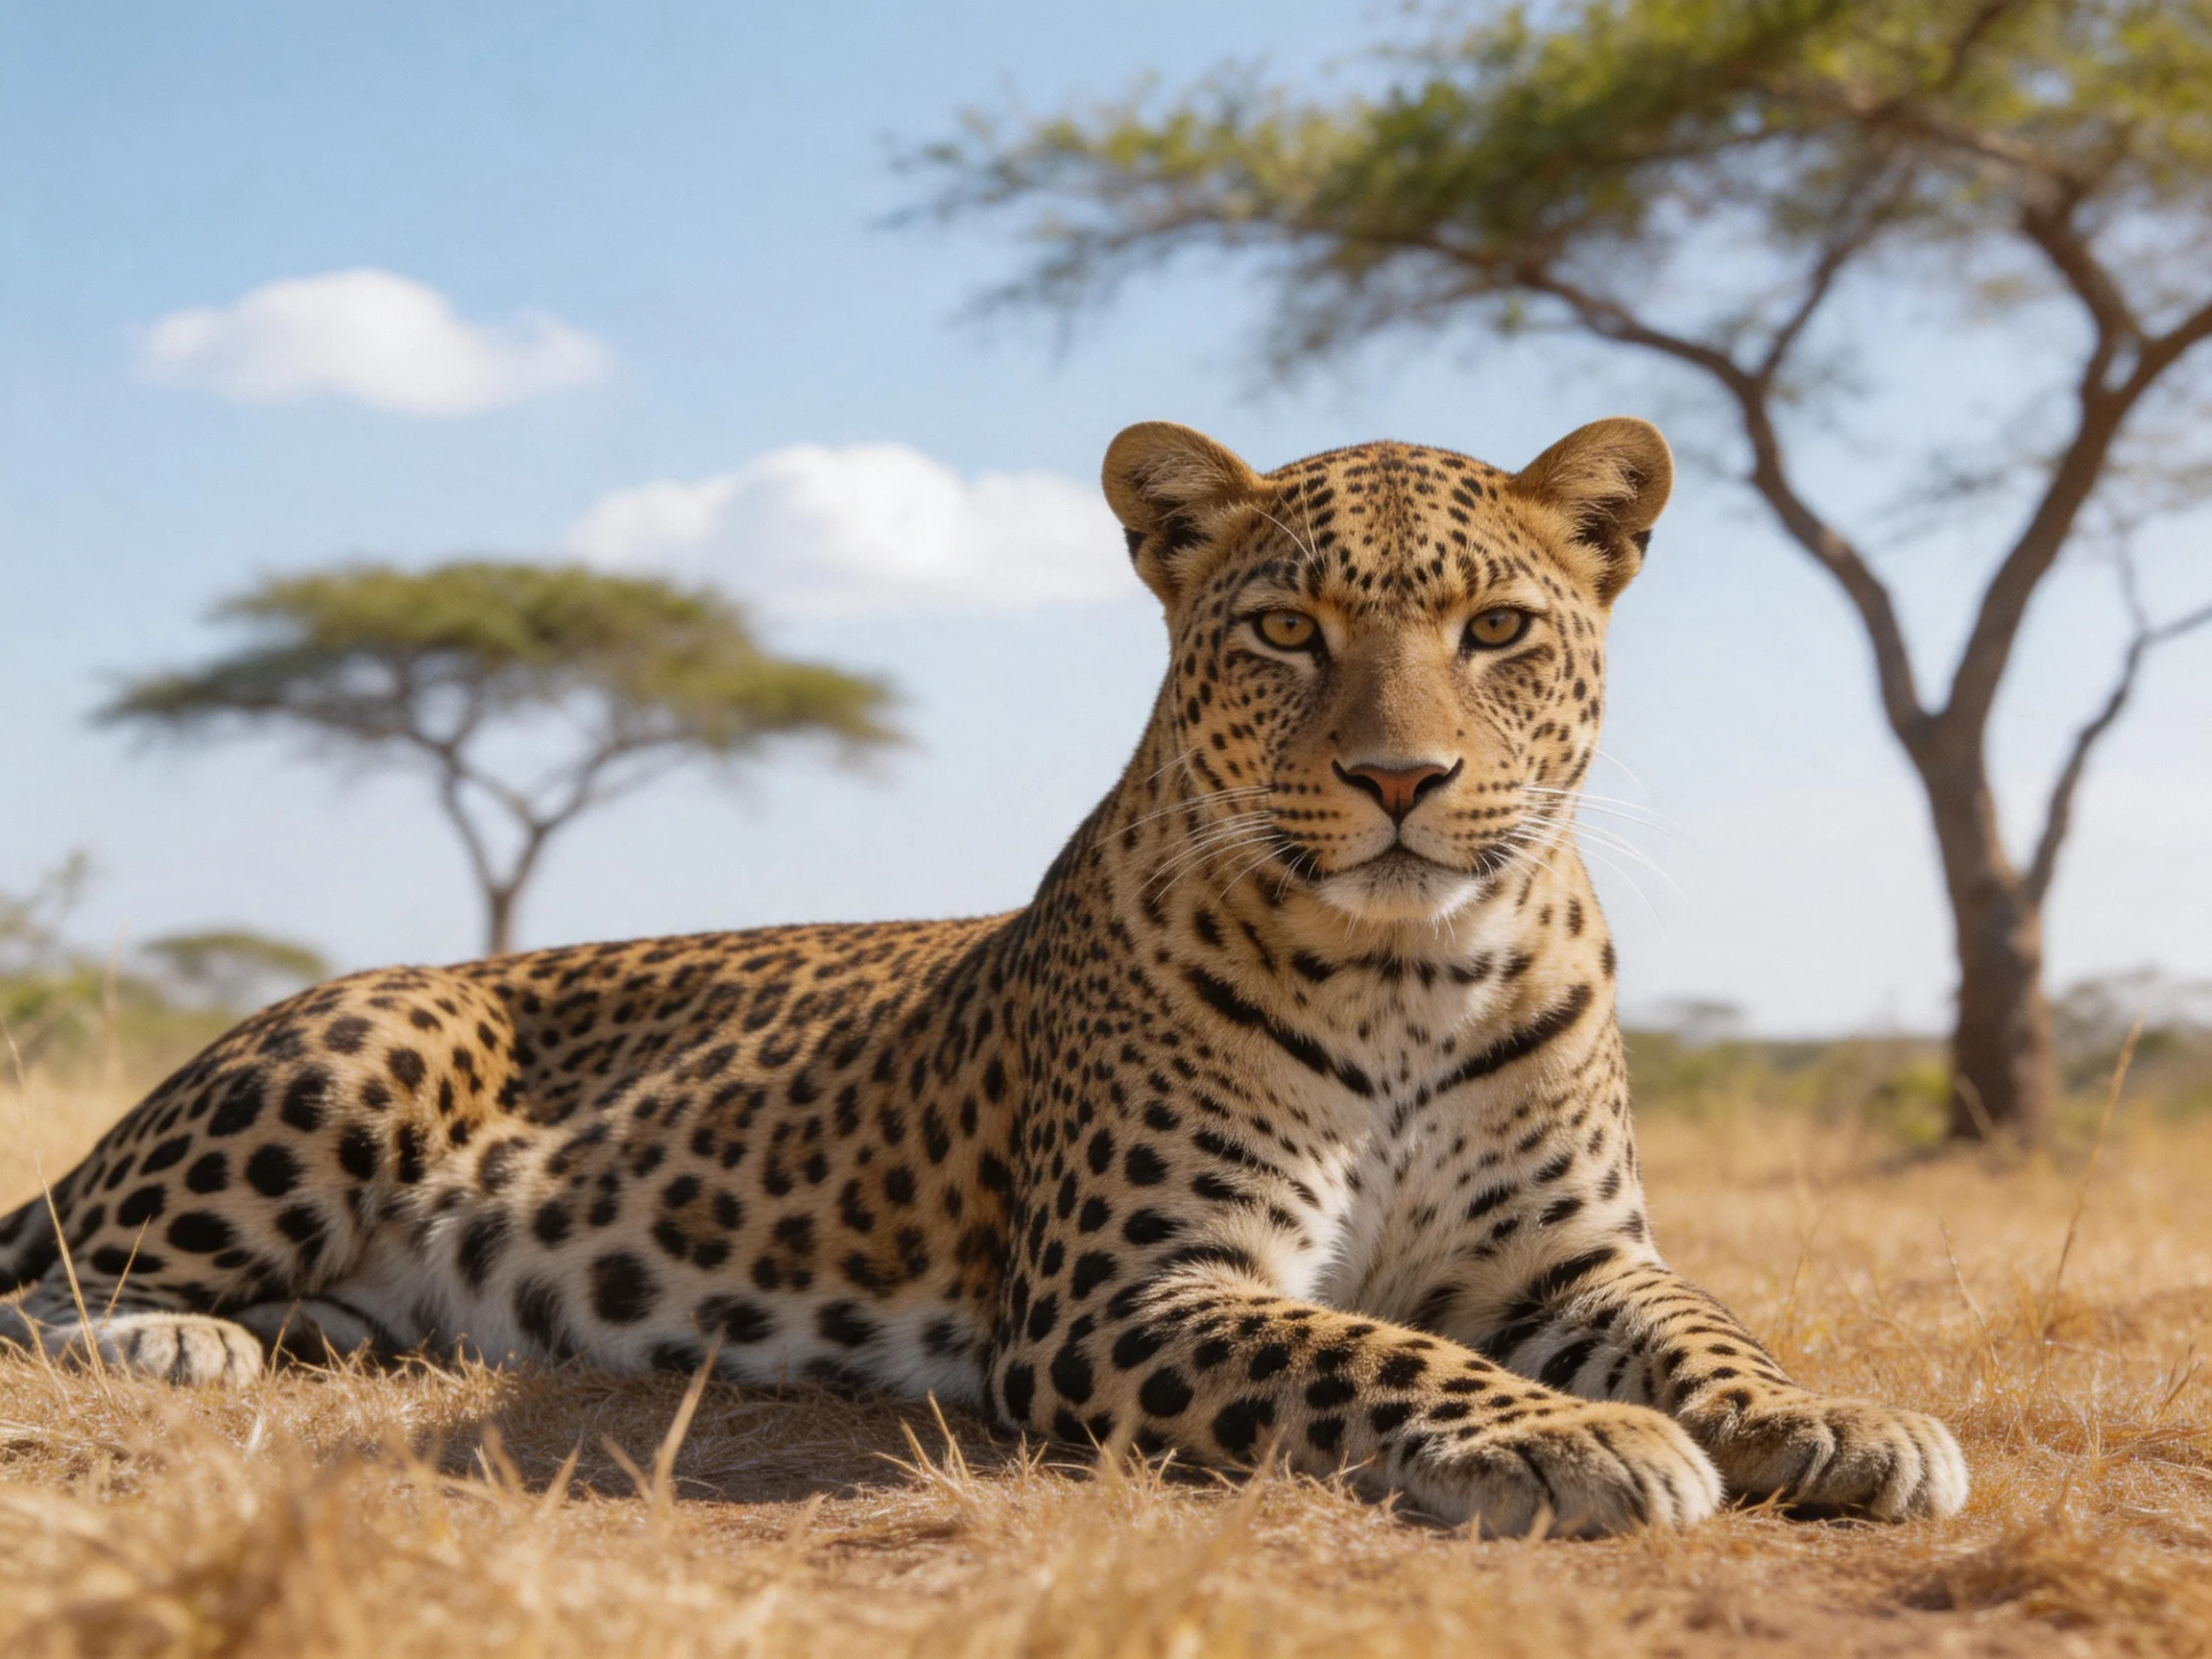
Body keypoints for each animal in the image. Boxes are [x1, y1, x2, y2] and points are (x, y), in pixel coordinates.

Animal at [0, 417, 1967, 1535]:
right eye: (1285, 629)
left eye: (1495, 630)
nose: (1399, 780)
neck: (1412, 967)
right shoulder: (1131, 1292)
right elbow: (1370, 1347)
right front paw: (1577, 1438)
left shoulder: (1577, 1259)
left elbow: (1710, 1327)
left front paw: (1834, 1417)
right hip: (360, 1040)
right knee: (40, 1281)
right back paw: (181, 1334)